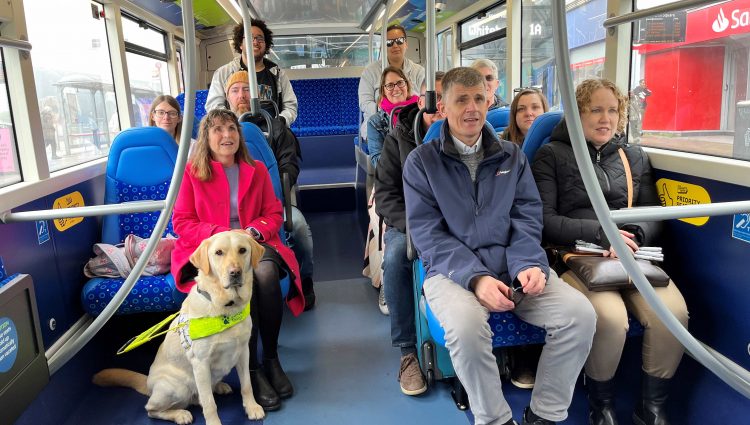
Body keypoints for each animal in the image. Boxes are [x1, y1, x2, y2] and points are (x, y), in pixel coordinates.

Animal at [94, 230, 266, 422]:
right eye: (219, 252)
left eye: (242, 250)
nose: (235, 272)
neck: (226, 309)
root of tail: (149, 384)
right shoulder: (200, 363)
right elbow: (209, 404)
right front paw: (214, 422)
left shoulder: (243, 351)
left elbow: (246, 385)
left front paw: (252, 407)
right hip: (178, 387)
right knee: (152, 409)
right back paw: (180, 414)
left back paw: (219, 386)